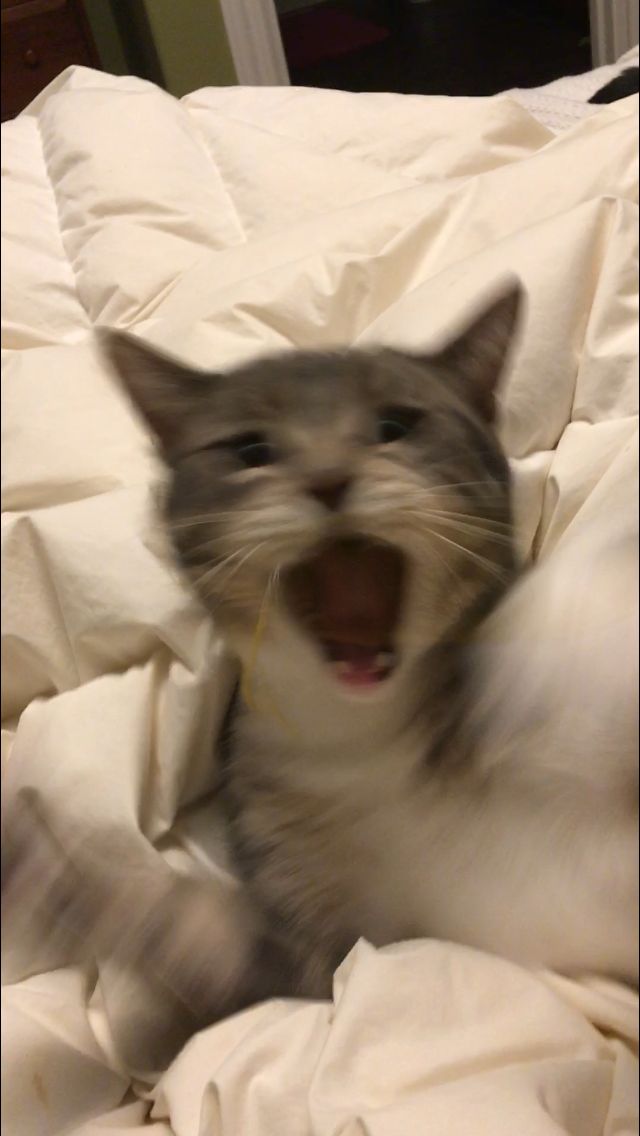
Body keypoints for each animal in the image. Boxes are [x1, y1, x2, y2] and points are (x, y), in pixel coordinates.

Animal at [3, 281, 636, 1063]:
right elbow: (179, 929)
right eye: (250, 449)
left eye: (396, 424)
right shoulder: (323, 954)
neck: (368, 737)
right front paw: (35, 857)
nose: (329, 478)